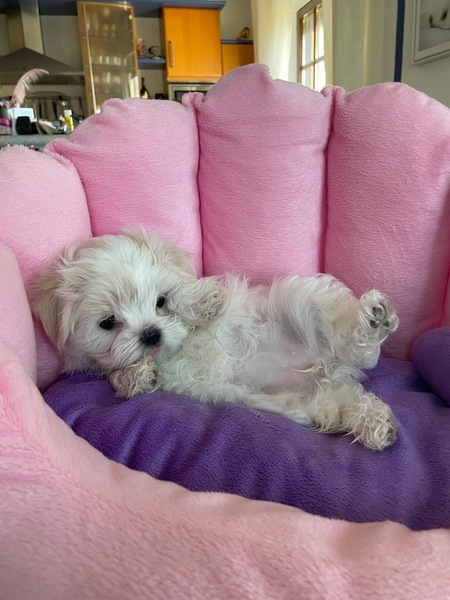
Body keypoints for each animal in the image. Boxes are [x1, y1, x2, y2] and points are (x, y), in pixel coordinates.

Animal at [32, 229, 399, 451]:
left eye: (161, 302)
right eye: (108, 323)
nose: (151, 333)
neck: (172, 351)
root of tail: (329, 367)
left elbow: (189, 290)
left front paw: (205, 302)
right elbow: (120, 373)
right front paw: (137, 374)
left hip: (304, 299)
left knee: (353, 344)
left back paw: (374, 320)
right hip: (315, 400)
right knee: (343, 402)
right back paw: (376, 424)